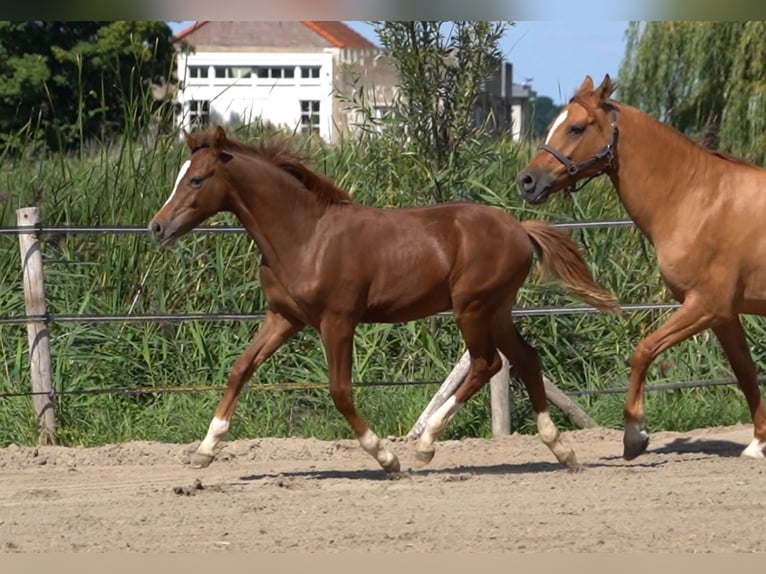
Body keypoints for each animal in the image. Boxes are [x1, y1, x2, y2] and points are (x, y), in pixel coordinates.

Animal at [149, 125, 619, 475]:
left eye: (196, 179)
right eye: (177, 177)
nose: (157, 227)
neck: (305, 236)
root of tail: (519, 228)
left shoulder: (338, 321)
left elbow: (340, 391)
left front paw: (386, 457)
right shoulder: (283, 317)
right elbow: (240, 369)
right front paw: (205, 449)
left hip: (473, 308)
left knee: (487, 363)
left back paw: (426, 445)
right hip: (497, 310)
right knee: (525, 358)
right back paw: (561, 450)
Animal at [517, 73, 766, 461]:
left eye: (575, 128)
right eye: (551, 126)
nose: (527, 182)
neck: (697, 198)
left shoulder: (706, 305)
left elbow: (643, 350)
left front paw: (634, 435)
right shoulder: (724, 315)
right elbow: (744, 369)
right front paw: (758, 443)